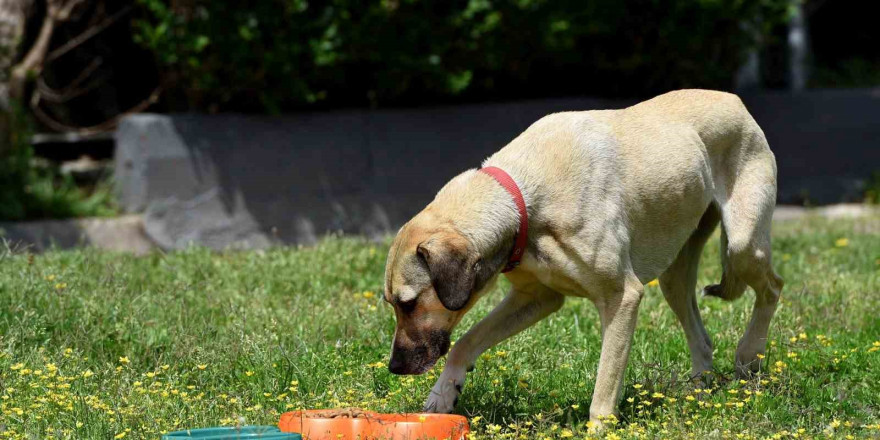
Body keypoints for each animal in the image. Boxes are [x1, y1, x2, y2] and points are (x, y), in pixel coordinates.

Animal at [384, 89, 784, 426]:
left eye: (409, 303)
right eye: (392, 304)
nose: (394, 367)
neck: (523, 197)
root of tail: (734, 99)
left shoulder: (622, 298)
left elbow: (605, 384)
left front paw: (599, 429)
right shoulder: (537, 298)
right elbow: (465, 342)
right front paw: (443, 393)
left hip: (743, 246)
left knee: (773, 287)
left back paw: (749, 355)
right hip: (675, 274)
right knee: (701, 336)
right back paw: (699, 391)